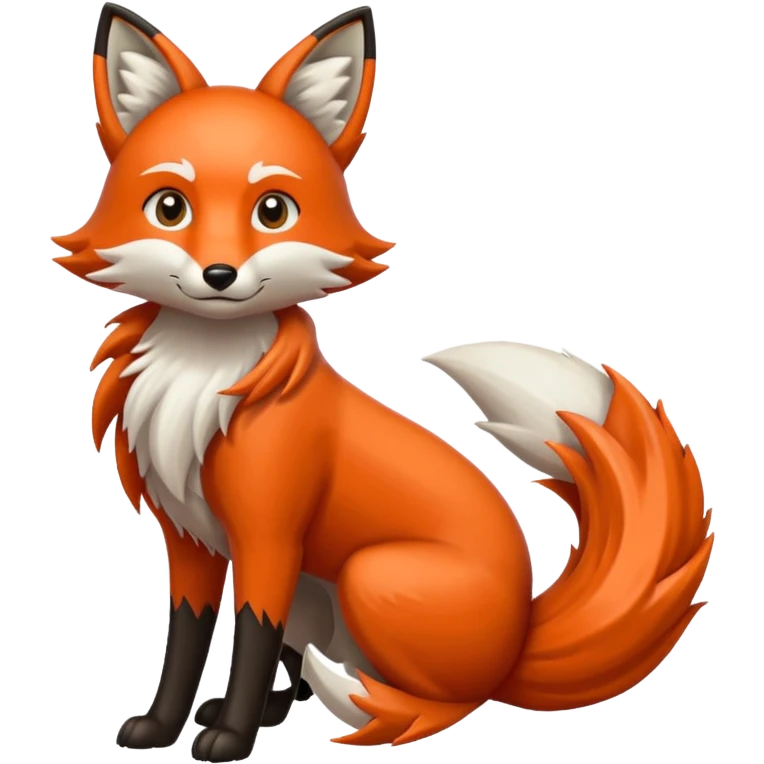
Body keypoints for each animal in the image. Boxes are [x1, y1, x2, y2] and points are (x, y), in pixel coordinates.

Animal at [51, 3, 714, 762]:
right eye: (170, 208)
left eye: (272, 210)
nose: (220, 275)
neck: (204, 373)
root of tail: (520, 637)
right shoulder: (191, 541)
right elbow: (186, 644)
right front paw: (163, 727)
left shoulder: (269, 536)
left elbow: (249, 640)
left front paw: (231, 739)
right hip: (317, 597)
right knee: (309, 664)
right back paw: (277, 709)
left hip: (371, 577)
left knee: (448, 701)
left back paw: (369, 714)